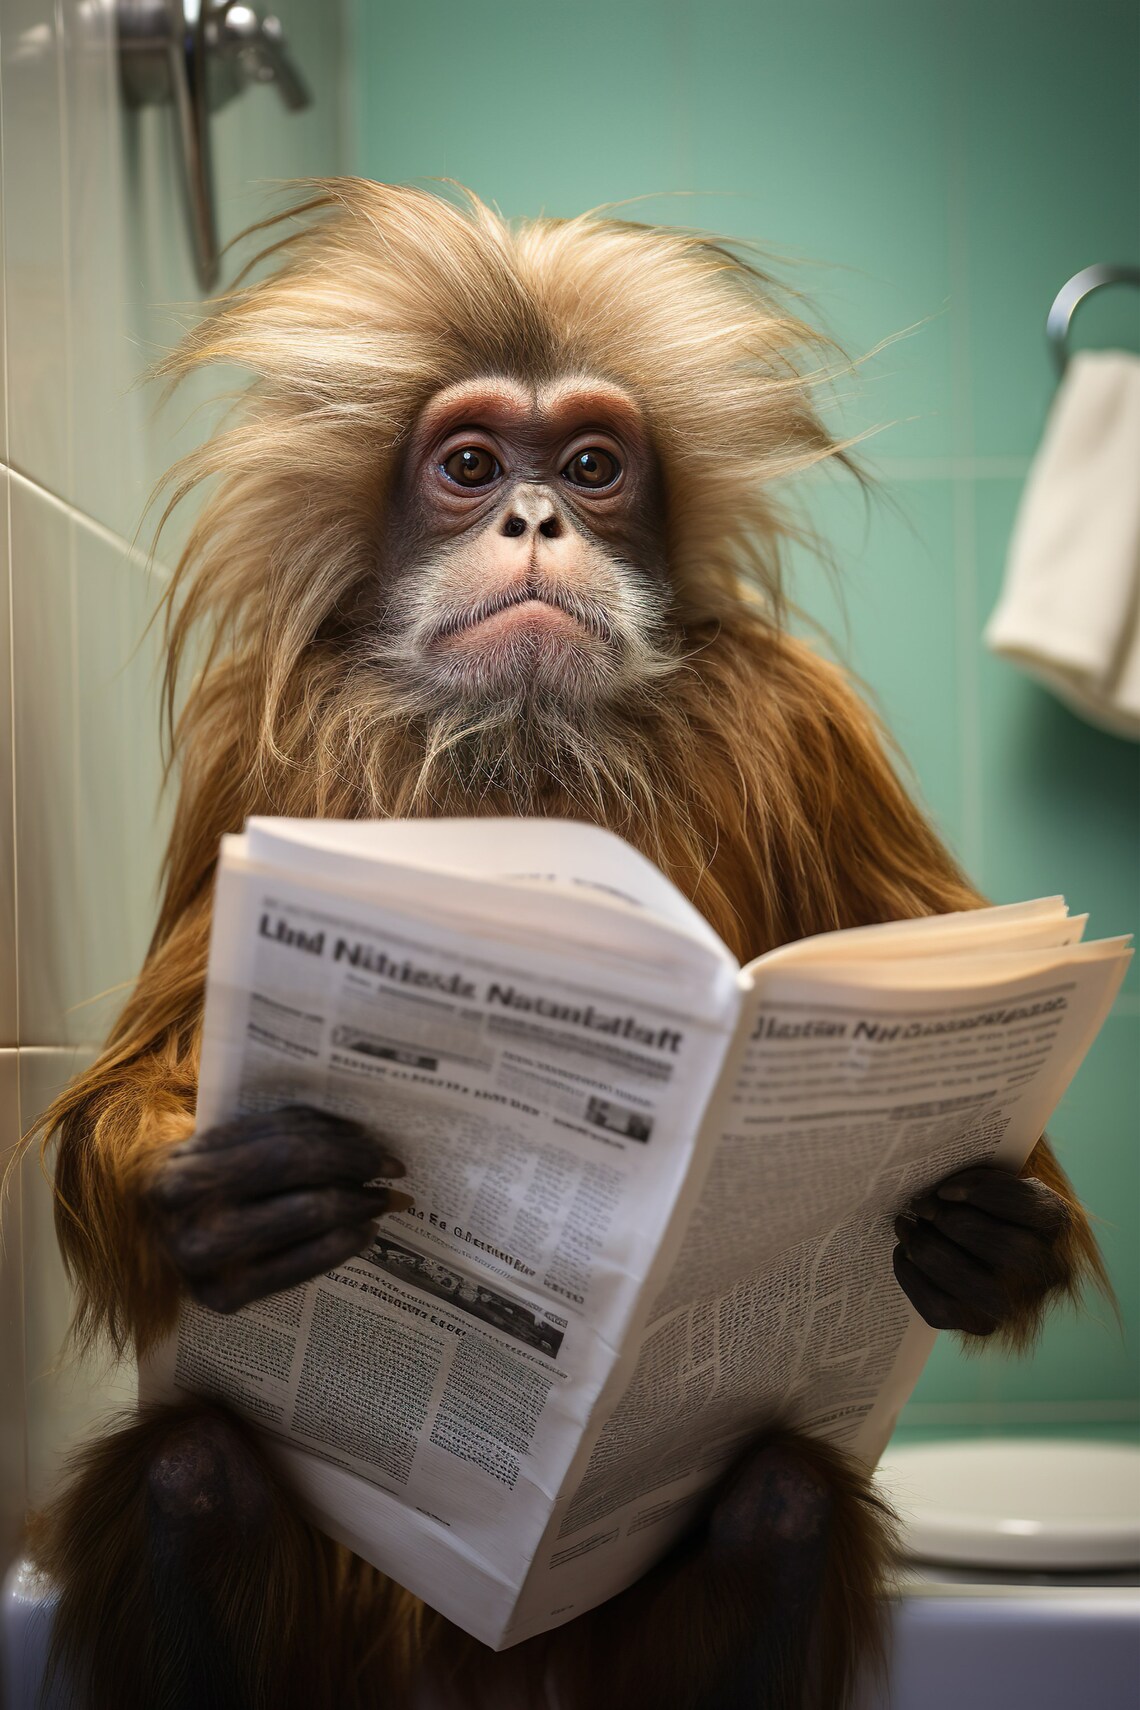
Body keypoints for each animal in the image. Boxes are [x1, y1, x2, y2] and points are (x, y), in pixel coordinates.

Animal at [25, 181, 1105, 1710]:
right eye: (472, 463)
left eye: (593, 464)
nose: (535, 515)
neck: (526, 743)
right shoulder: (255, 748)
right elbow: (148, 1073)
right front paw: (225, 1205)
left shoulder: (809, 722)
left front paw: (983, 1241)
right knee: (191, 1473)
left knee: (778, 1500)